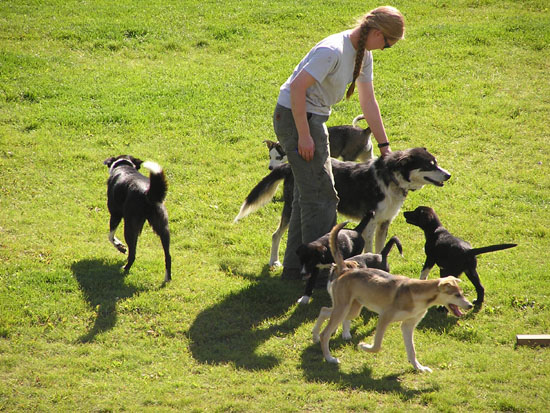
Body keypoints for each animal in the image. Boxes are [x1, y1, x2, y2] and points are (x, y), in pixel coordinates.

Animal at [103, 155, 172, 284]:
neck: (124, 165)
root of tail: (147, 193)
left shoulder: (115, 214)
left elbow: (110, 236)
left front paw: (120, 247)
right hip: (163, 227)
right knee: (168, 256)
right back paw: (167, 278)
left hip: (130, 226)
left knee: (133, 253)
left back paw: (125, 268)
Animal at [236, 146, 452, 266]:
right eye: (429, 165)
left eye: (436, 163)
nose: (449, 175)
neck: (390, 179)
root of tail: (288, 165)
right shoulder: (371, 222)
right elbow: (371, 248)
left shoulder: (385, 222)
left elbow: (381, 248)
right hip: (290, 209)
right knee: (276, 235)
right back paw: (274, 261)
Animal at [312, 222, 476, 370]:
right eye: (456, 294)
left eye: (462, 293)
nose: (470, 305)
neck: (418, 294)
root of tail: (345, 270)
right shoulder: (384, 318)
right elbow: (377, 345)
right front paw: (364, 346)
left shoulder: (408, 326)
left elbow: (412, 350)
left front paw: (419, 368)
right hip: (344, 308)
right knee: (325, 333)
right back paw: (329, 358)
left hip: (351, 309)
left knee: (324, 310)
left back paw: (315, 336)